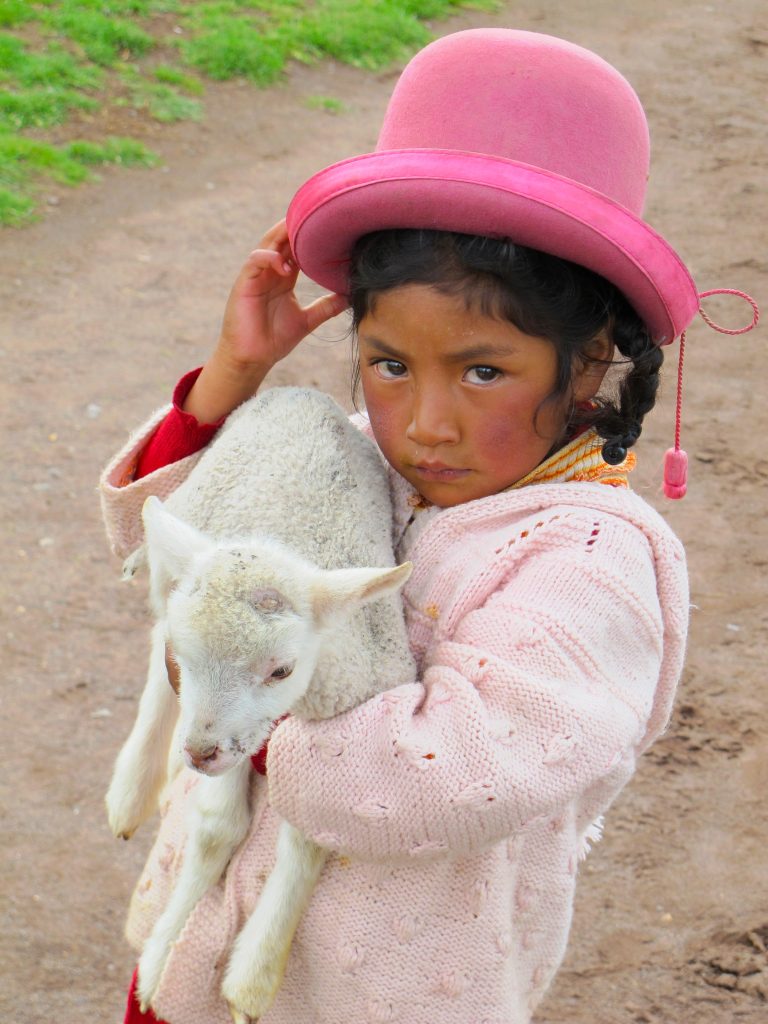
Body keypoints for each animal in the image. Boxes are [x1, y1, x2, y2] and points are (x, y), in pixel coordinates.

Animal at [107, 387, 415, 1019]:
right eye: (187, 660)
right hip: (178, 551)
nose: (199, 753)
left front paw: (254, 975)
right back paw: (135, 785)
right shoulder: (235, 733)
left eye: (281, 670)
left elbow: (316, 831)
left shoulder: (345, 743)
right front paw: (160, 956)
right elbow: (216, 828)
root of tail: (299, 391)